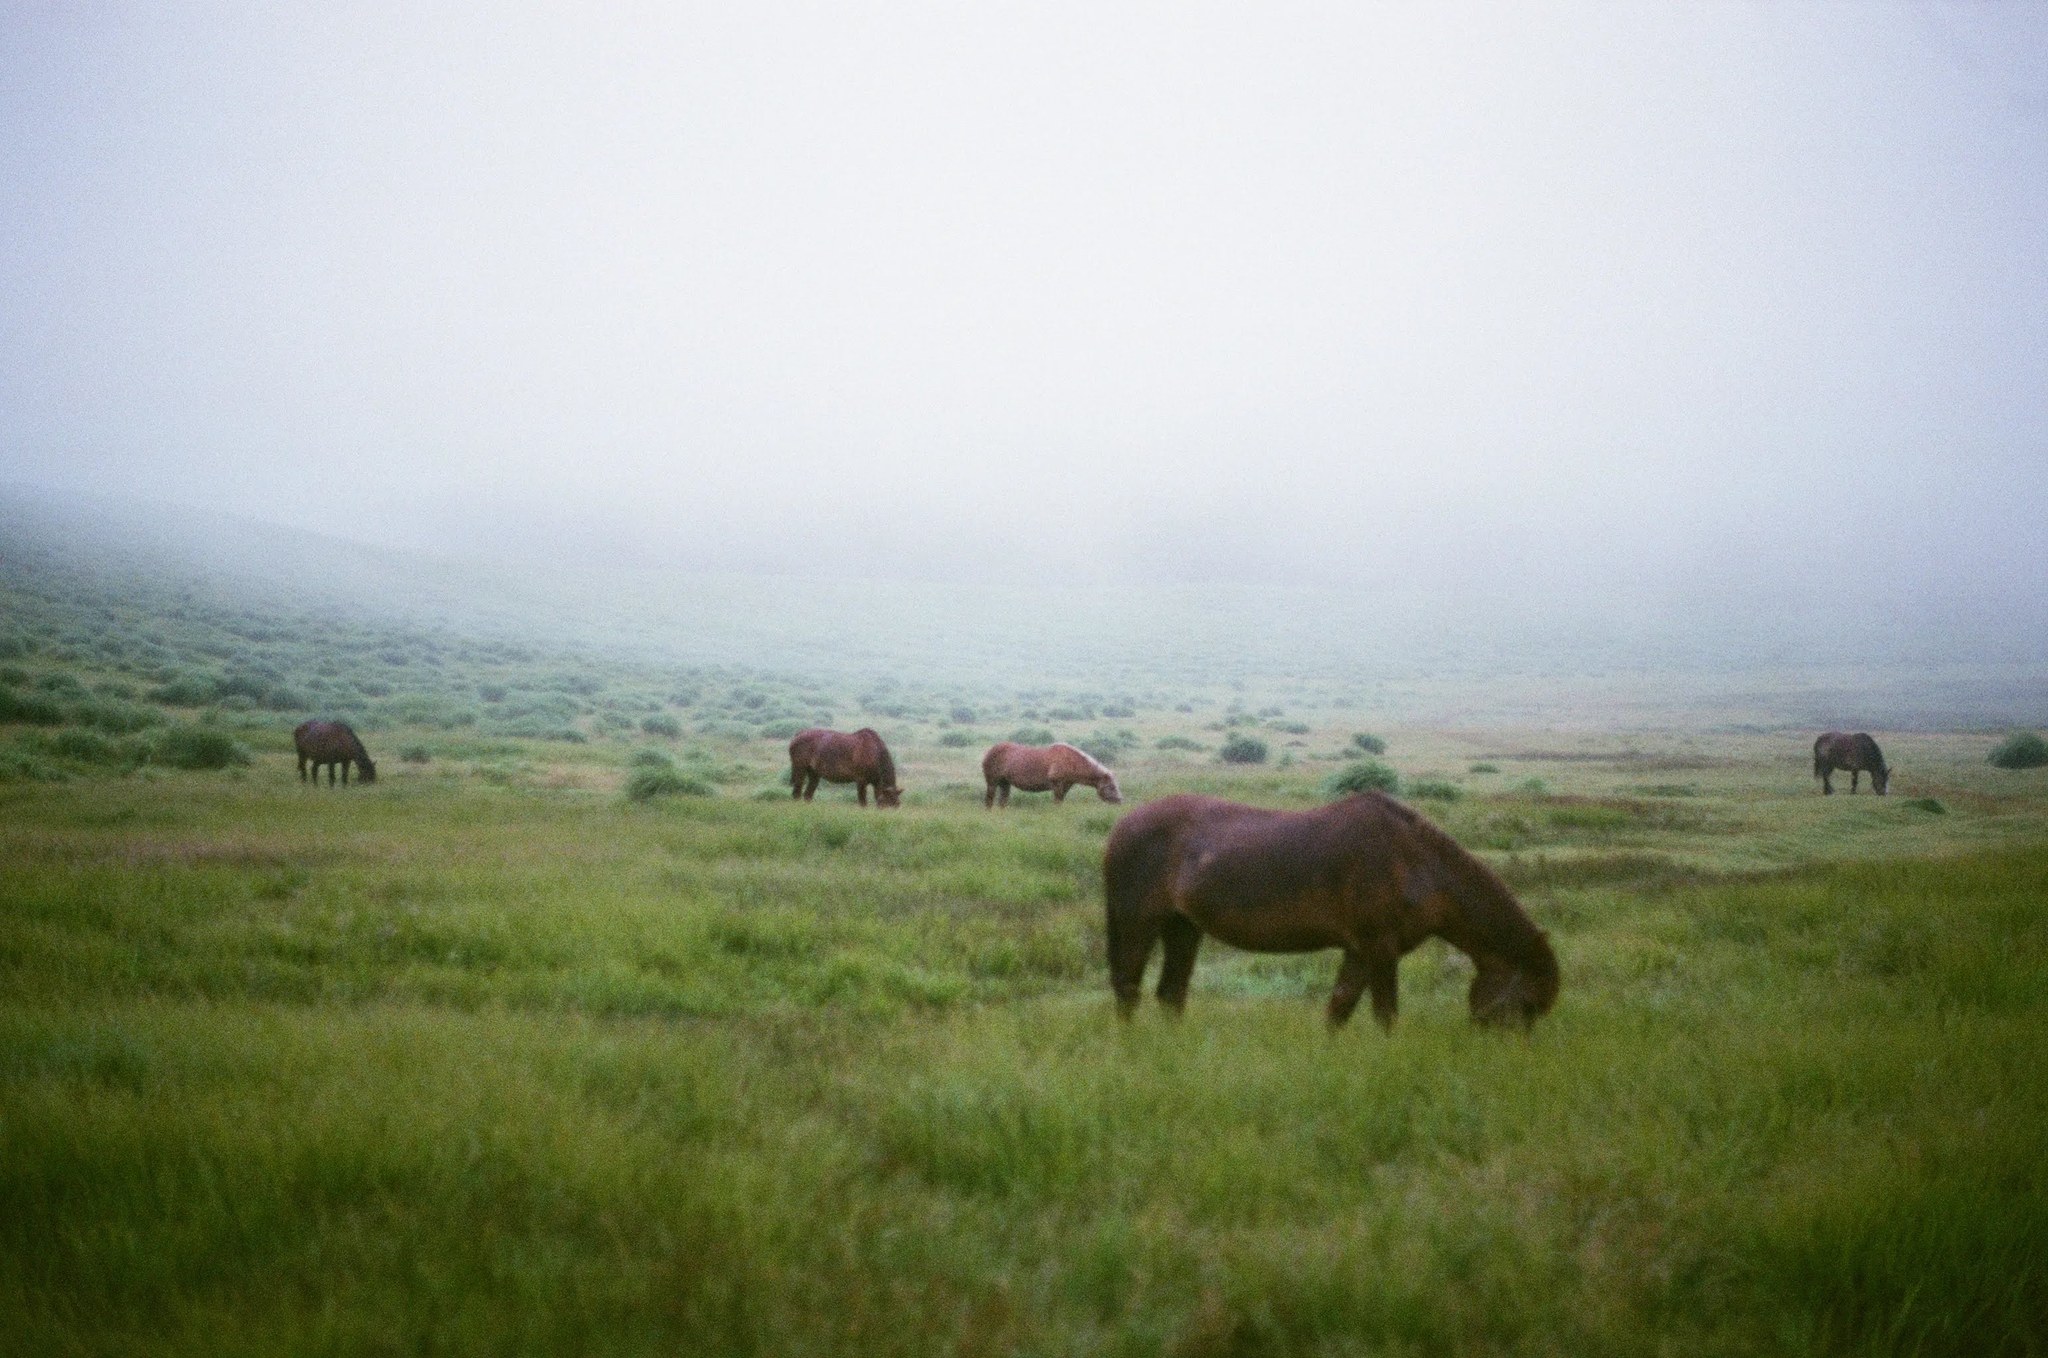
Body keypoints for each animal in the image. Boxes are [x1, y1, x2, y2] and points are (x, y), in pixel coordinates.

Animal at [982, 741, 1122, 808]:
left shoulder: (1065, 786)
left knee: (1002, 802)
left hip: (1005, 783)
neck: (1071, 761)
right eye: (1111, 786)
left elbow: (1060, 801)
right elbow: (1057, 802)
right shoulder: (1057, 785)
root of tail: (989, 751)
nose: (1120, 800)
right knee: (989, 801)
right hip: (992, 782)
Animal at [1103, 792, 1558, 1030]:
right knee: (1128, 988)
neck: (1417, 866)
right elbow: (1385, 1014)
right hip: (1138, 922)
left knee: (1170, 993)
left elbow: (1339, 1008)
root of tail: (1122, 825)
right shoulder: (1380, 949)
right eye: (1526, 1005)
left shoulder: (1360, 951)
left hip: (1182, 927)